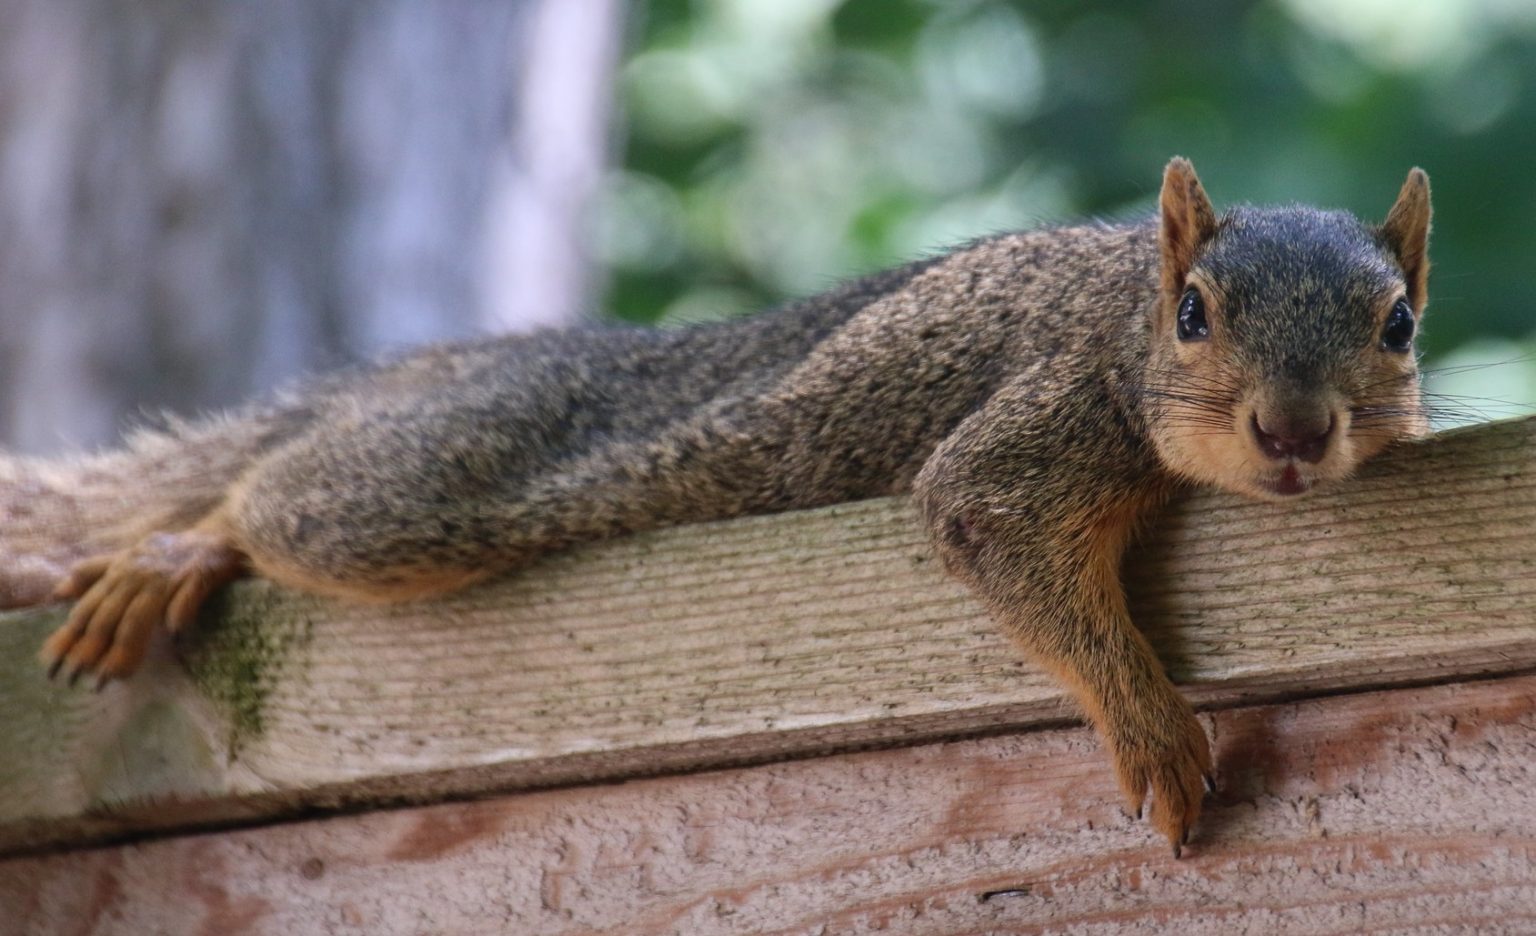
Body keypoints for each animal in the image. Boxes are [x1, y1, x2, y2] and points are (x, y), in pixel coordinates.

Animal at [2, 158, 1431, 855]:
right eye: (1193, 314)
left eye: (1400, 327)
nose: (1294, 432)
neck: (1120, 312)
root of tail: (432, 375)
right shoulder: (1055, 413)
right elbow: (984, 516)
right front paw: (1154, 733)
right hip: (421, 488)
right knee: (274, 503)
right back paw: (180, 550)